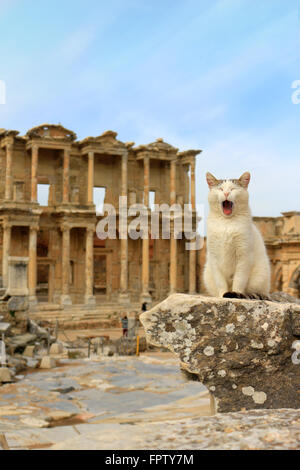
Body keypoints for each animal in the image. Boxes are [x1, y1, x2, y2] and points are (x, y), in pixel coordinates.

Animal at [203, 171, 270, 300]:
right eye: (220, 189)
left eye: (233, 189)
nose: (226, 193)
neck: (227, 223)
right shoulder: (214, 257)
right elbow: (220, 282)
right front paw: (222, 295)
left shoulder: (243, 255)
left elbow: (239, 280)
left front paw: (236, 294)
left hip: (260, 275)